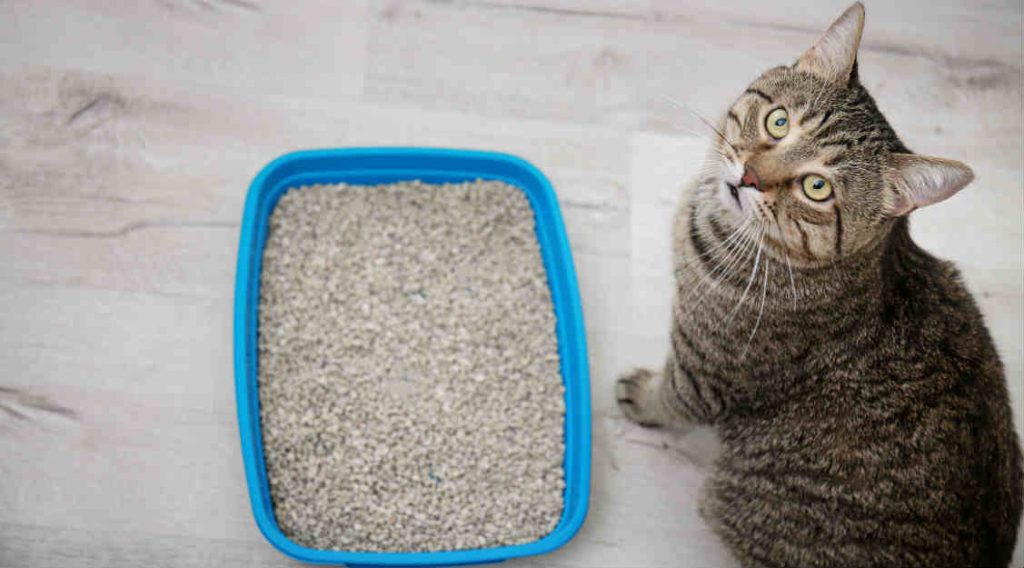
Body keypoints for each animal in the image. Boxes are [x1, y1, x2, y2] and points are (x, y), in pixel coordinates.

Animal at [614, 3, 1024, 564]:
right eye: (778, 121)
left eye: (816, 187)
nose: (748, 176)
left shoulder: (706, 372)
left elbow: (670, 397)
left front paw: (642, 395)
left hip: (727, 497)